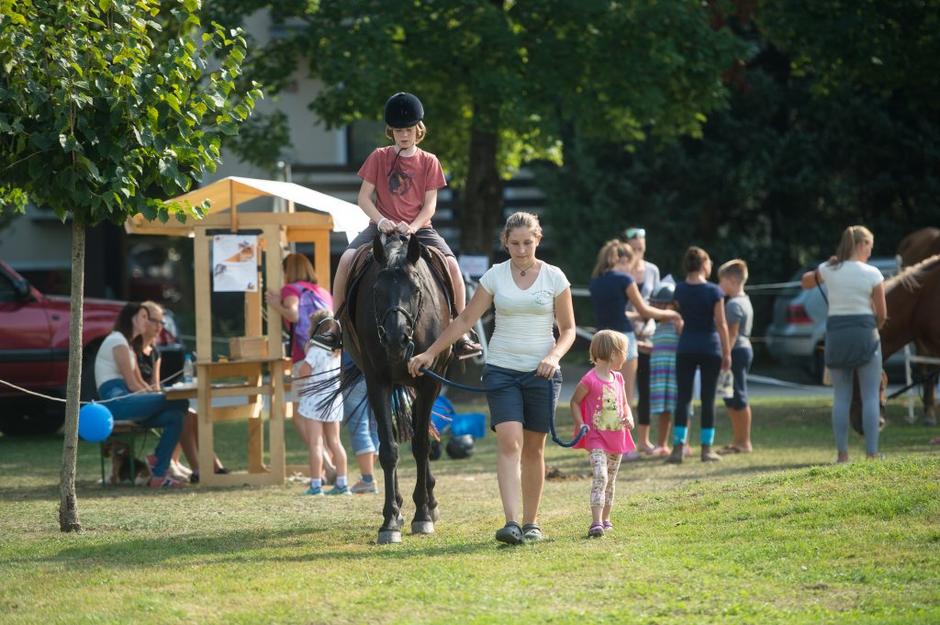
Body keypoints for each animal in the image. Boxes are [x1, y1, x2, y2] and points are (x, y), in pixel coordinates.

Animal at [342, 233, 456, 540]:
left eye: (416, 289)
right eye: (377, 289)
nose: (396, 340)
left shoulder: (429, 382)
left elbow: (421, 445)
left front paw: (423, 515)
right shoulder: (377, 382)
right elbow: (389, 450)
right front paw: (390, 520)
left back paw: (428, 501)